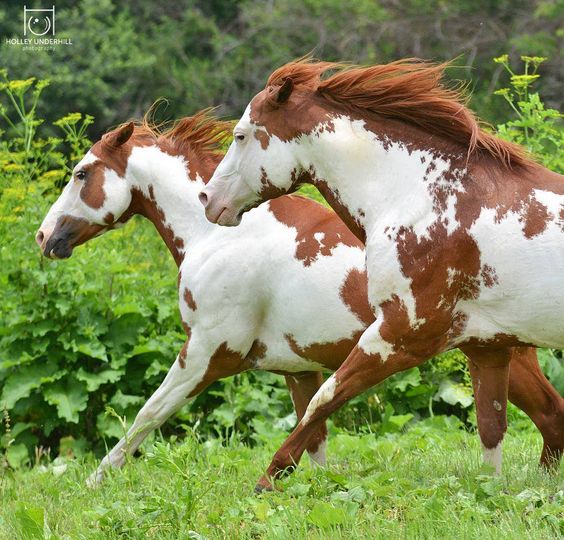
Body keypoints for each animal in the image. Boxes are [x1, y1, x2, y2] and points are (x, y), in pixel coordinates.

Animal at [199, 59, 564, 490]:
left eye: (240, 135)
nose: (208, 199)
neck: (422, 201)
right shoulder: (487, 347)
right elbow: (491, 429)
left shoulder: (400, 335)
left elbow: (324, 398)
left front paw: (271, 477)